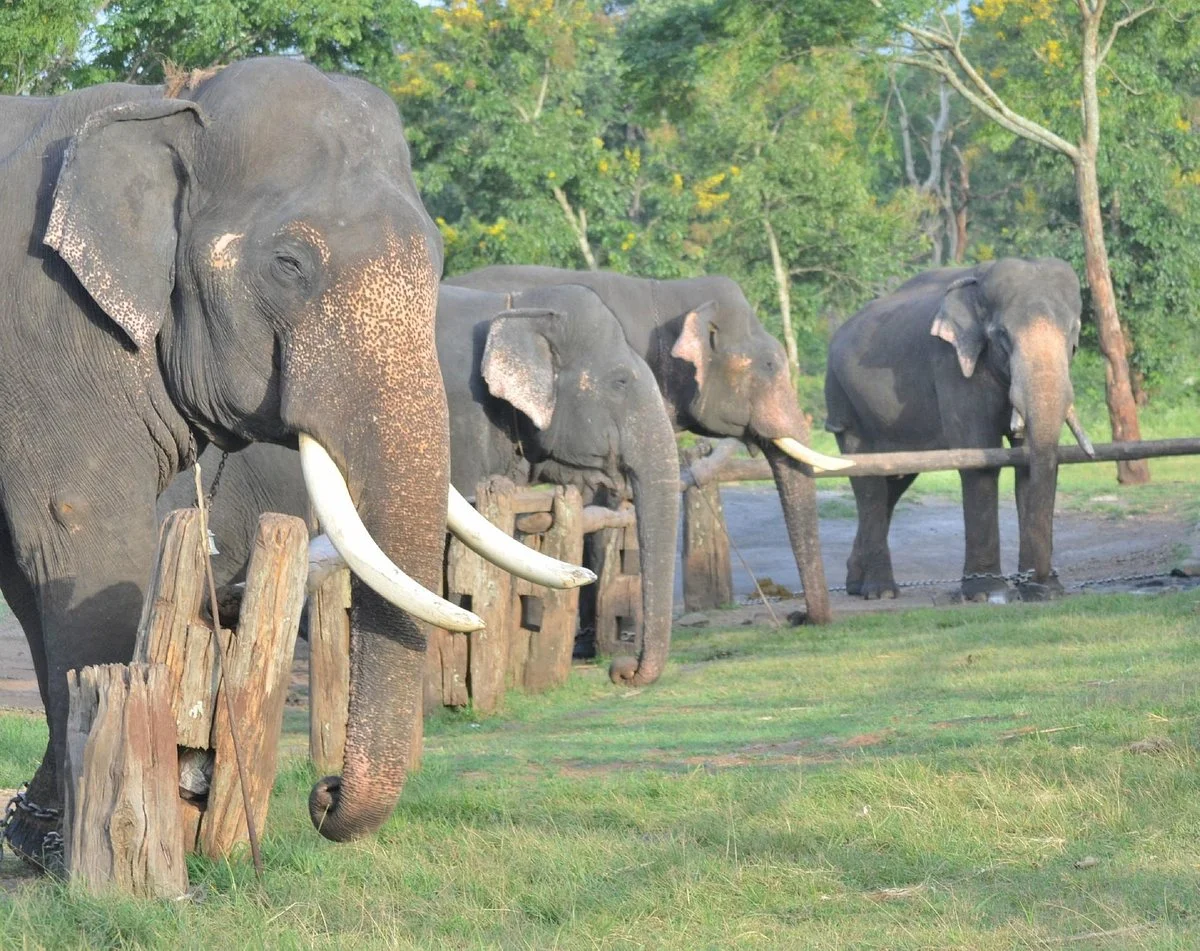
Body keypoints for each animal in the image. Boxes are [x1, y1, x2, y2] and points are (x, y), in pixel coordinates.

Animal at [0, 57, 585, 865]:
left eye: (437, 265)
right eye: (289, 265)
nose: (325, 791)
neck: (163, 106)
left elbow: (30, 572)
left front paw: (39, 833)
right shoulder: (48, 341)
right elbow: (82, 545)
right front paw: (75, 850)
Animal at [824, 257, 1095, 602]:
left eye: (1073, 334)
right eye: (1002, 335)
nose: (1042, 580)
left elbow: (1026, 464)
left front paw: (1044, 592)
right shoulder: (951, 363)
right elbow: (978, 454)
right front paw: (985, 594)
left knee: (894, 482)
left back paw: (856, 585)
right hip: (843, 401)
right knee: (868, 481)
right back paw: (880, 592)